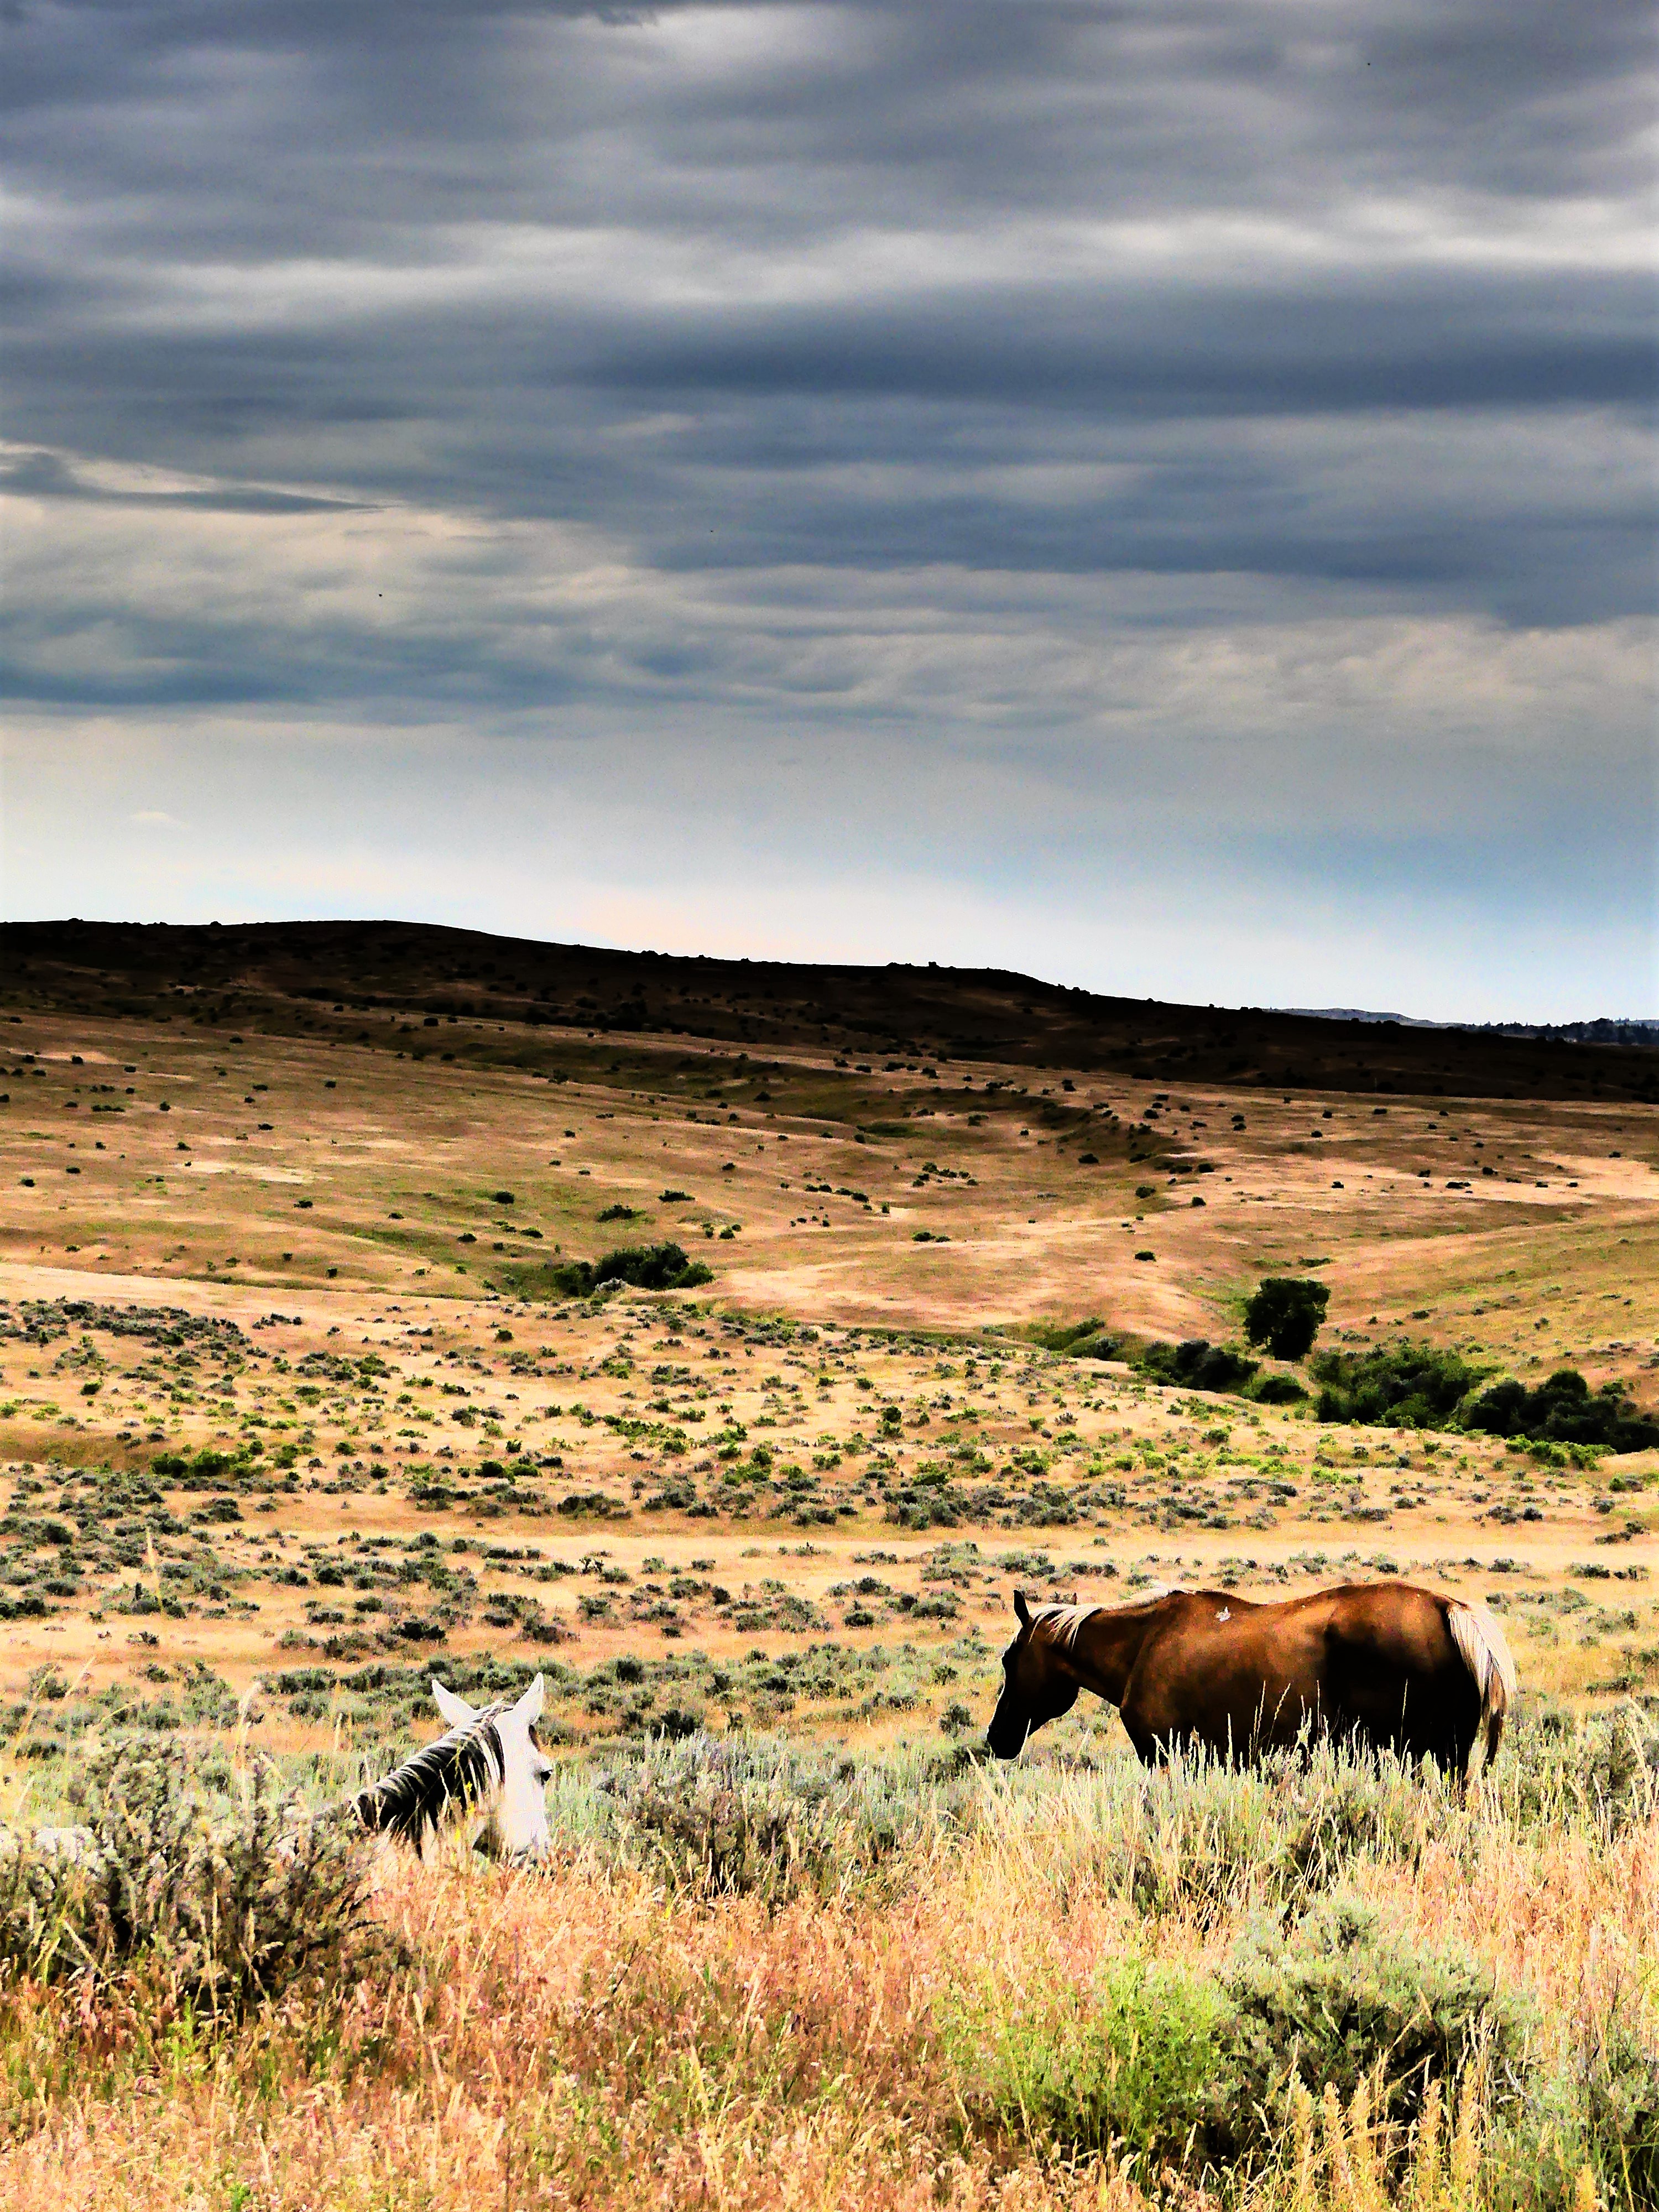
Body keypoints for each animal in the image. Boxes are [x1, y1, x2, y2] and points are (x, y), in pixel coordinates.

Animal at [986, 1581, 1515, 1784]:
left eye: (1010, 1660)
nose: (997, 1737)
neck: (1145, 1641)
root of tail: (1447, 1607)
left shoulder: (1163, 1754)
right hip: (1449, 1758)